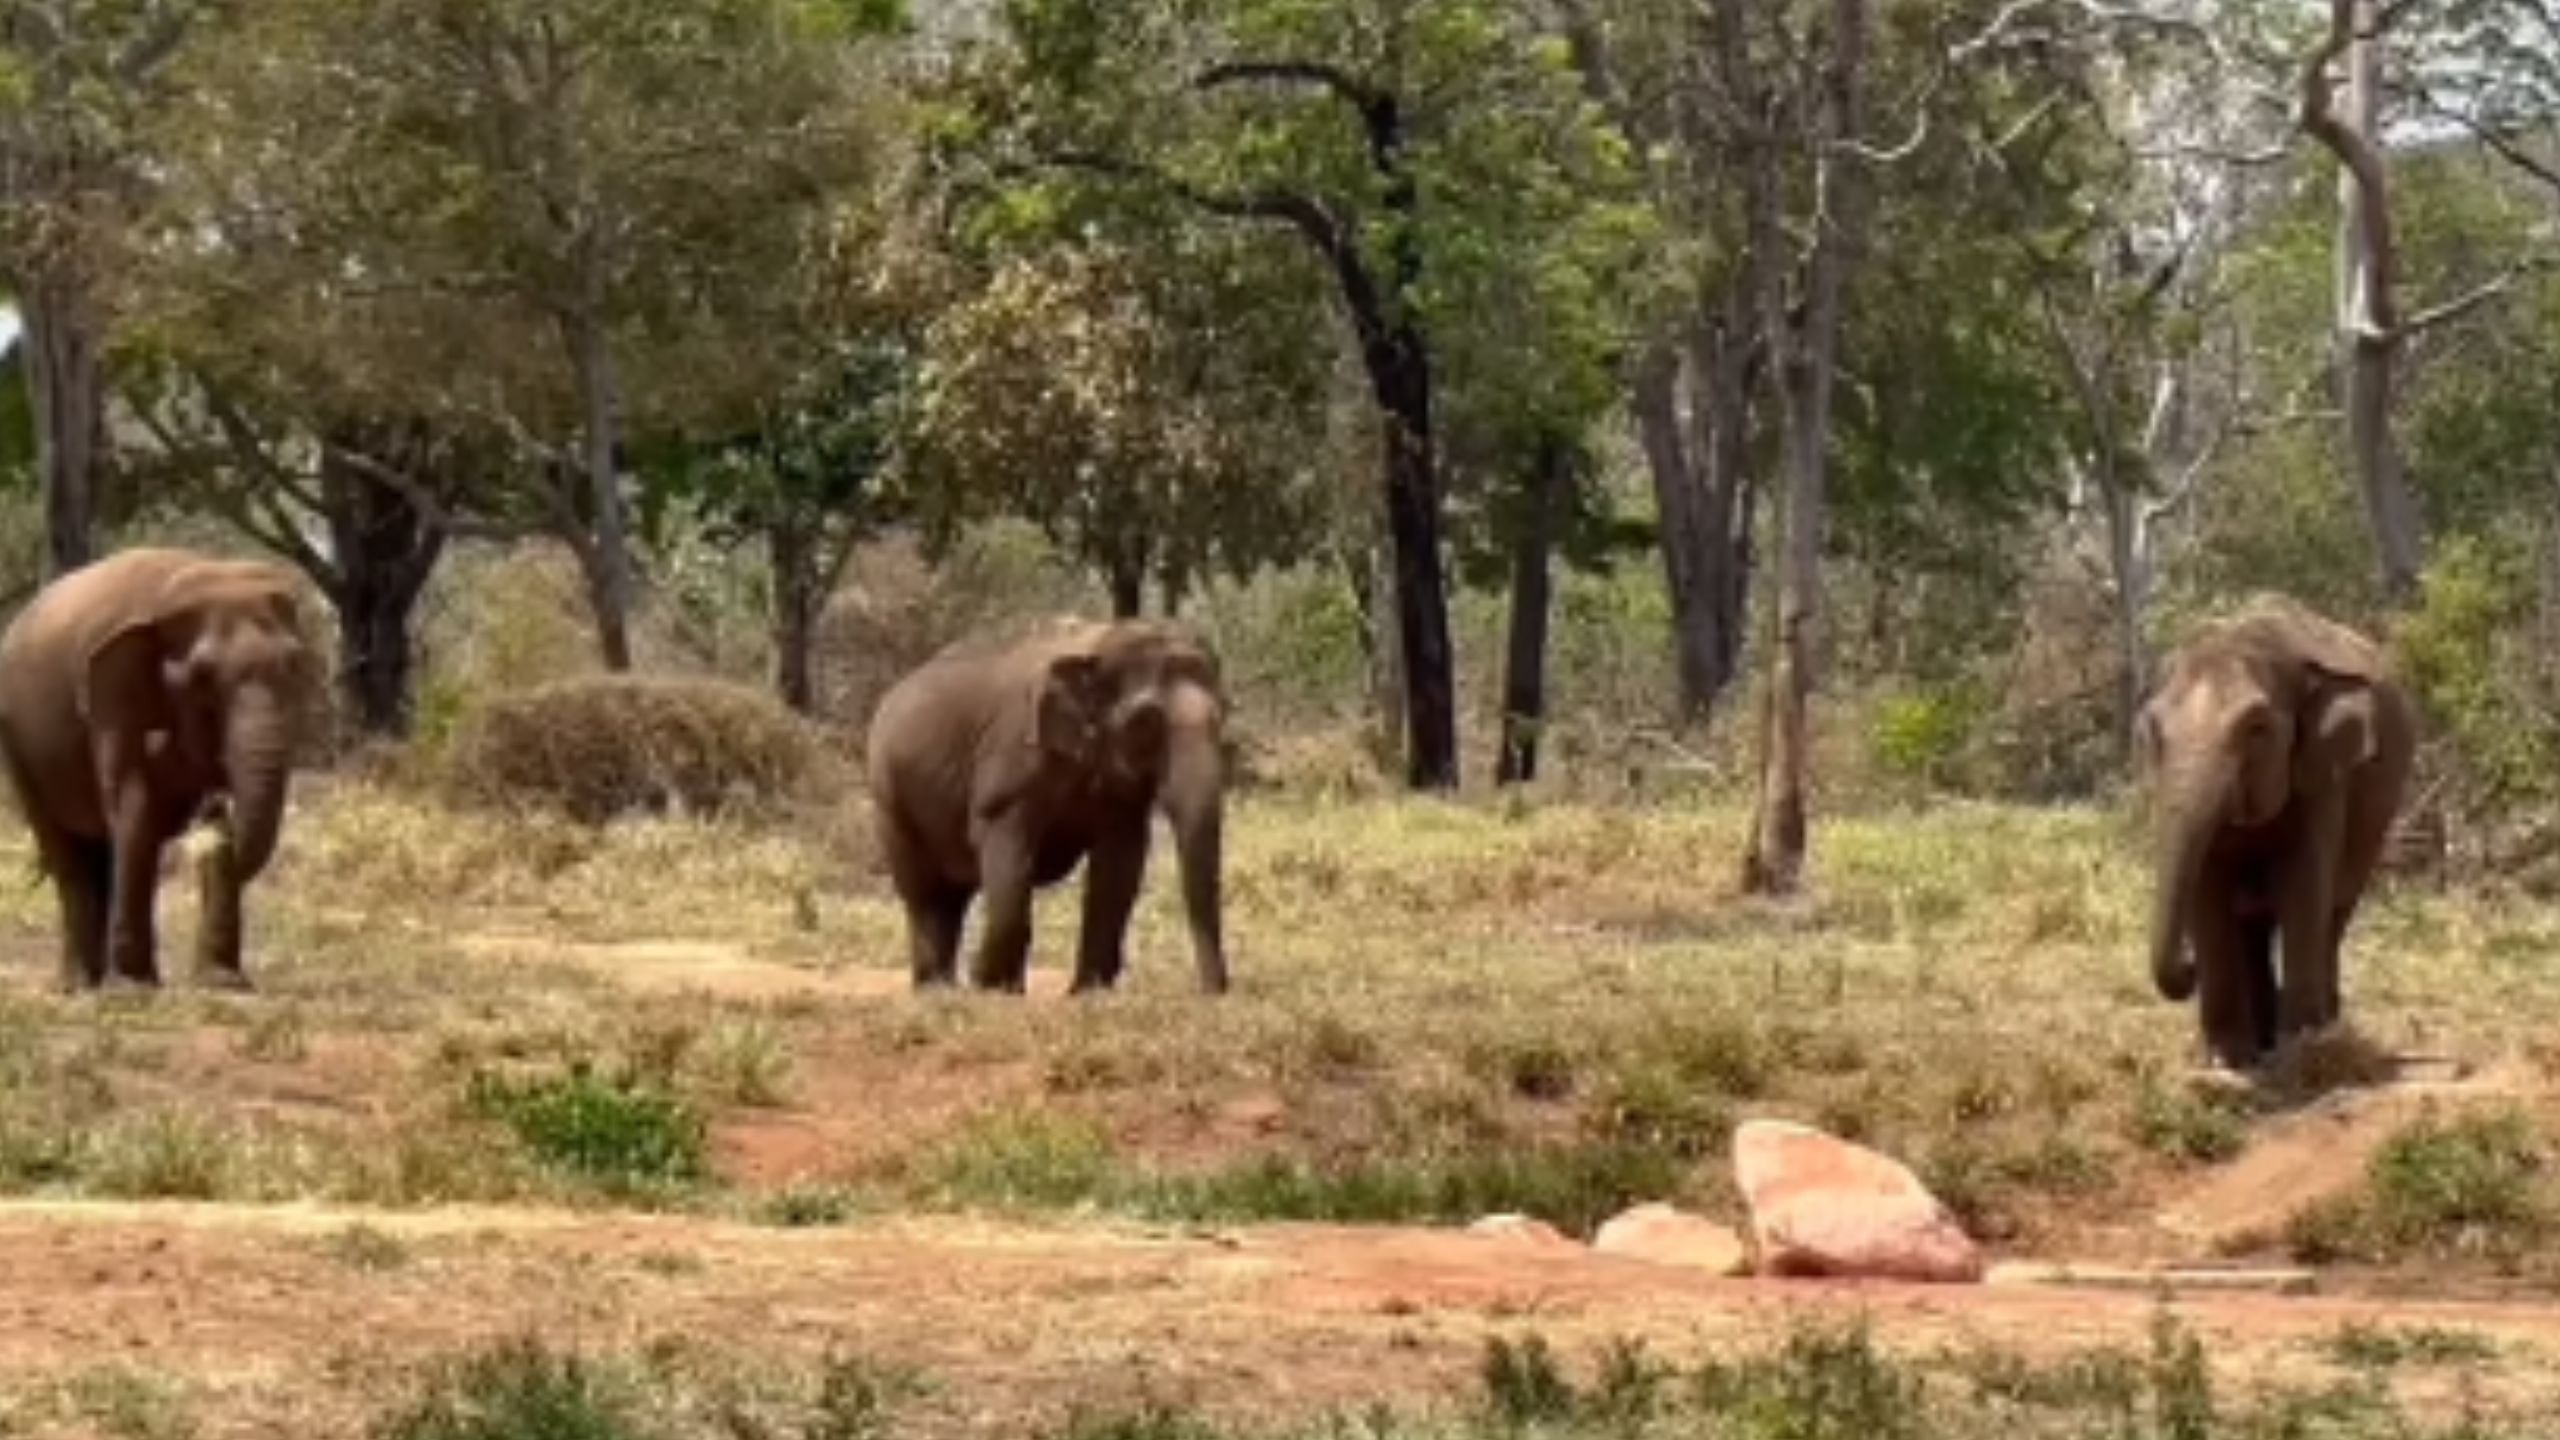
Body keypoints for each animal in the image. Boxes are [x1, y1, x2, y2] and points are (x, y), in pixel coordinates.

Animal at [0, 546, 316, 992]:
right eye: (202, 676)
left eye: (295, 664)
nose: (211, 840)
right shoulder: (111, 697)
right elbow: (134, 803)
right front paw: (134, 990)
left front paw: (223, 984)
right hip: (15, 742)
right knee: (65, 851)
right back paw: (78, 987)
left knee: (103, 852)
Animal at [864, 616, 1229, 996]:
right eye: (1145, 723)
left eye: (1224, 715)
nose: (1212, 992)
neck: (1097, 647)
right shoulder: (1013, 758)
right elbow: (1007, 848)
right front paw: (990, 987)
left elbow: (1119, 862)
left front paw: (1087, 993)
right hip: (889, 799)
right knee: (924, 894)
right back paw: (938, 990)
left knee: (952, 896)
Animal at [2137, 593, 2415, 1072]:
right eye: (2154, 730)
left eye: (2256, 728)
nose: (2188, 969)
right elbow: (2206, 890)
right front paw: (2225, 1060)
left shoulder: (2323, 776)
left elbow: (2304, 884)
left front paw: (2299, 1052)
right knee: (2253, 926)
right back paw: (2262, 1041)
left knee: (2333, 916)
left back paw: (2321, 1029)